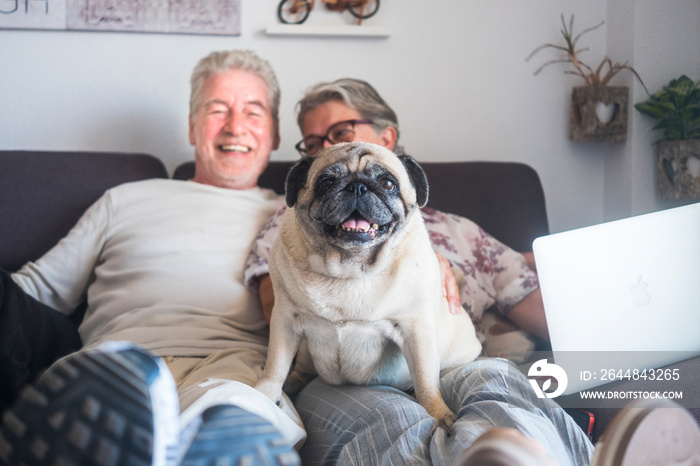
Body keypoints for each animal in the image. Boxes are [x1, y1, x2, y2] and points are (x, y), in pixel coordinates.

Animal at [254, 142, 484, 430]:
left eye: (387, 183)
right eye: (326, 182)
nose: (357, 187)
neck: (349, 268)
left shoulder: (416, 330)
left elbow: (425, 381)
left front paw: (439, 414)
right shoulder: (285, 319)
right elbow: (276, 363)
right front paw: (265, 393)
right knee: (301, 366)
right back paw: (295, 380)